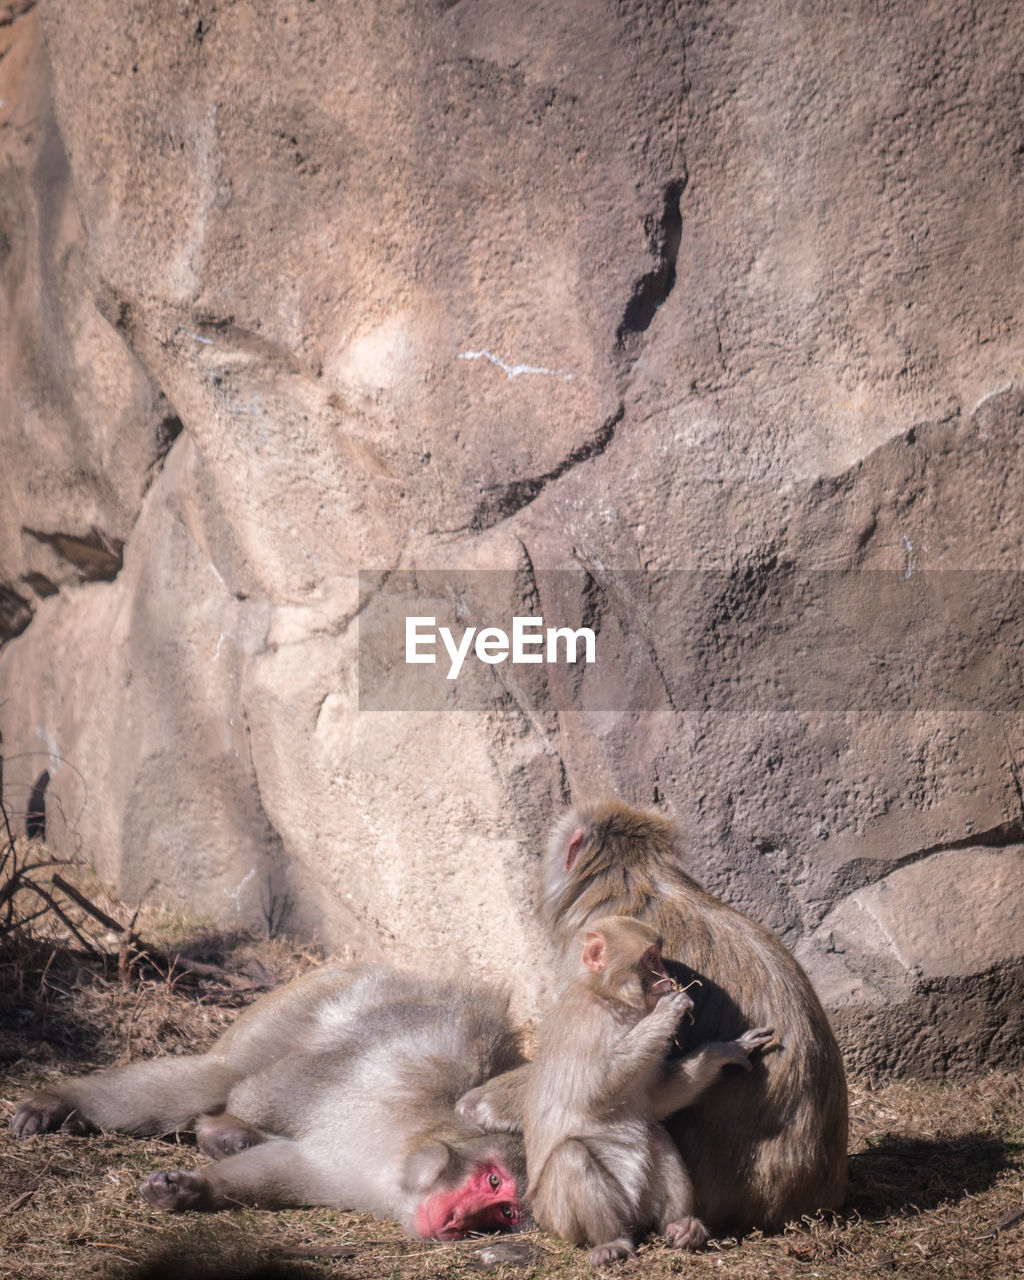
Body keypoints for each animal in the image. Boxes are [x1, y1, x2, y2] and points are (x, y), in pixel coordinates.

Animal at [12, 962, 527, 1233]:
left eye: (504, 1212)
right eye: (493, 1181)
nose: (459, 1221)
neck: (402, 1151)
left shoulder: (349, 1181)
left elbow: (284, 1169)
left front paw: (195, 1189)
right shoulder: (390, 1079)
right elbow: (260, 1093)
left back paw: (224, 1137)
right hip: (308, 1000)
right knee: (223, 1076)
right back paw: (58, 1101)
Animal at [524, 916, 773, 1264]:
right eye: (652, 958)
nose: (669, 978)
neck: (609, 999)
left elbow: (656, 1100)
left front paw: (723, 1051)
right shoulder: (585, 1026)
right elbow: (594, 1092)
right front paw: (669, 1011)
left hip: (639, 1202)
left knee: (656, 1134)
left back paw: (682, 1227)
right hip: (559, 1220)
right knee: (569, 1156)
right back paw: (612, 1242)